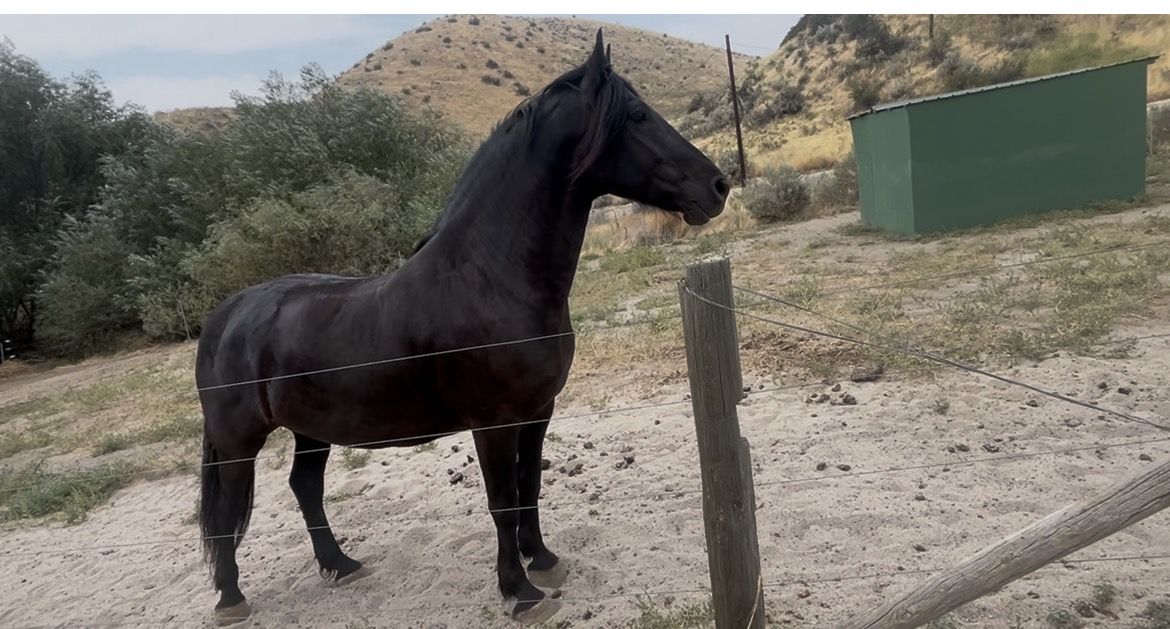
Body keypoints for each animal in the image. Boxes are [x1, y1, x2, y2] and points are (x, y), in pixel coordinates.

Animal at [194, 29, 729, 626]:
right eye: (637, 115)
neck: (490, 276)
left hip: (310, 430)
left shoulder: (538, 412)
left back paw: (341, 565)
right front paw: (519, 591)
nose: (719, 185)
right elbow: (502, 502)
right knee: (227, 509)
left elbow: (529, 485)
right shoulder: (493, 423)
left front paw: (544, 561)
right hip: (238, 441)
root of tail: (224, 316)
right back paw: (232, 597)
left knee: (304, 487)